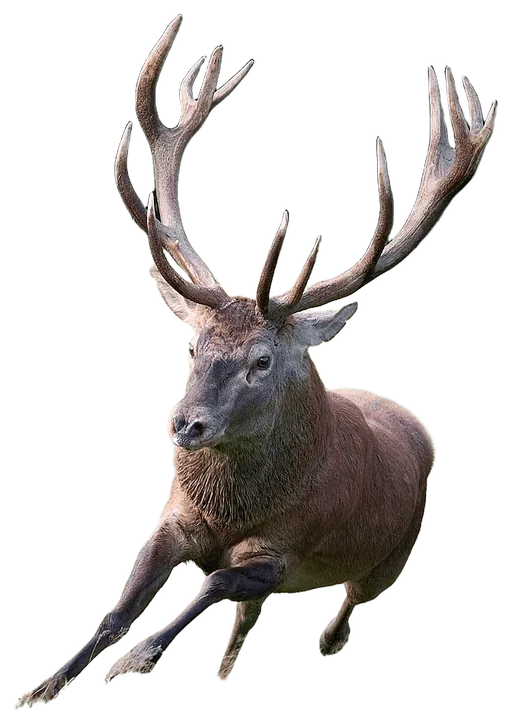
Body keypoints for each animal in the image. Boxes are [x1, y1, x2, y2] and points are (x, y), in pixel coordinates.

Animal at [15, 14, 497, 709]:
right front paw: (42, 688)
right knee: (245, 624)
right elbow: (116, 608)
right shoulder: (175, 518)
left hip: (391, 556)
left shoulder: (288, 552)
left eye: (262, 361)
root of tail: (410, 416)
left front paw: (134, 660)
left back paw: (324, 643)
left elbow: (215, 583)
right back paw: (223, 670)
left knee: (342, 610)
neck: (230, 510)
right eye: (196, 343)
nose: (186, 424)